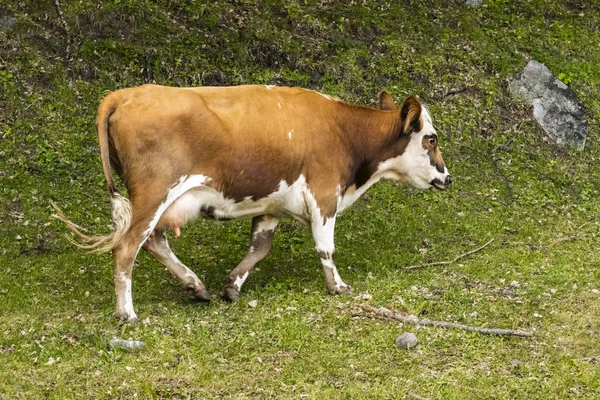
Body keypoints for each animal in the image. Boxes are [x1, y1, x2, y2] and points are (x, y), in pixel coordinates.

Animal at [52, 83, 450, 322]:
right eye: (430, 138)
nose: (448, 177)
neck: (343, 129)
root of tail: (125, 94)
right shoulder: (324, 192)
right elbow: (326, 246)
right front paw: (337, 286)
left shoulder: (272, 204)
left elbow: (259, 249)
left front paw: (231, 285)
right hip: (153, 194)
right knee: (128, 247)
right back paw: (127, 312)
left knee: (153, 241)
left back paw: (195, 286)